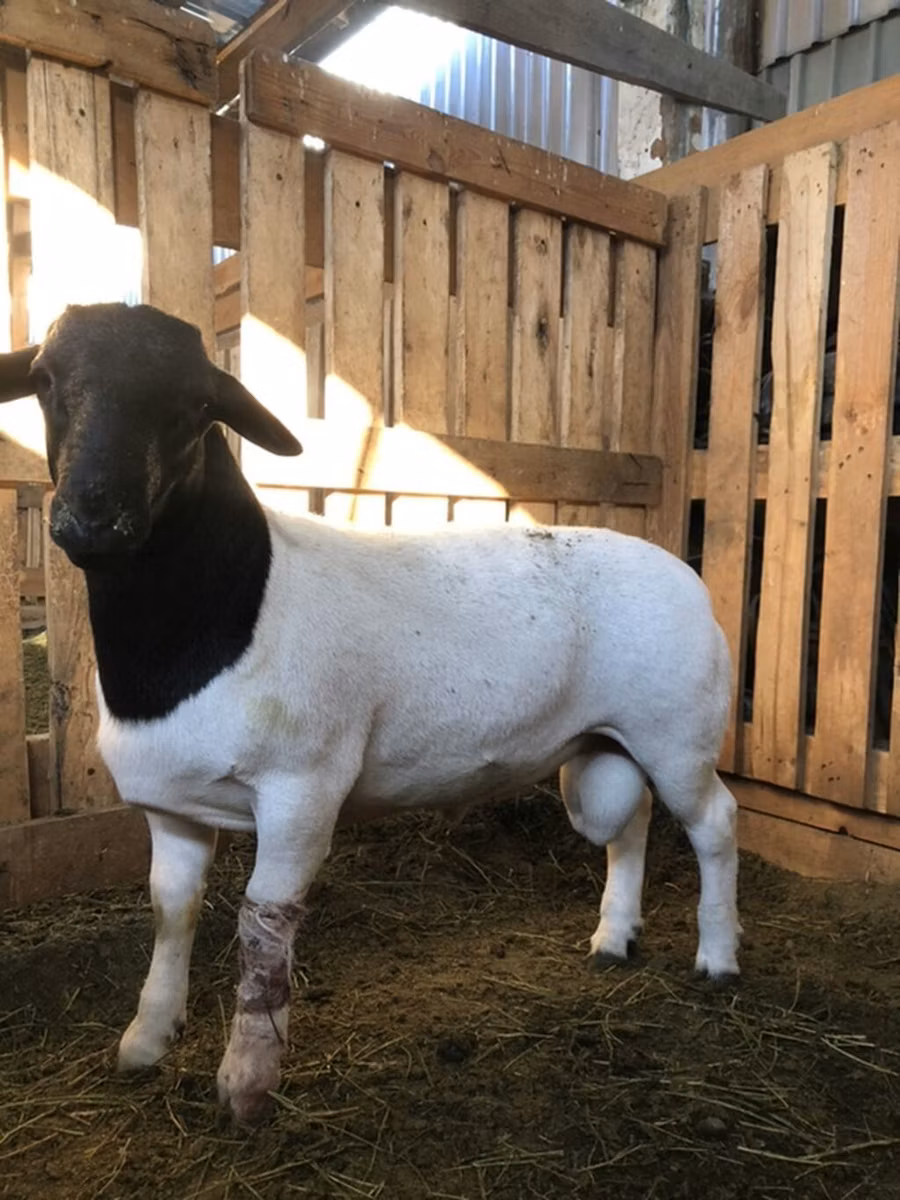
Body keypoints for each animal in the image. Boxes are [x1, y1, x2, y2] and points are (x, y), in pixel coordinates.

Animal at [0, 302, 741, 1124]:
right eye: (45, 380)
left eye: (195, 405)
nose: (93, 519)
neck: (215, 616)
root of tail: (681, 569)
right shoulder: (172, 806)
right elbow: (172, 911)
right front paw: (148, 1037)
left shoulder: (301, 789)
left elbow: (262, 922)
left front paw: (247, 1080)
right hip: (607, 745)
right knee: (631, 820)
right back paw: (615, 936)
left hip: (677, 734)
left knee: (715, 823)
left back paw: (718, 957)